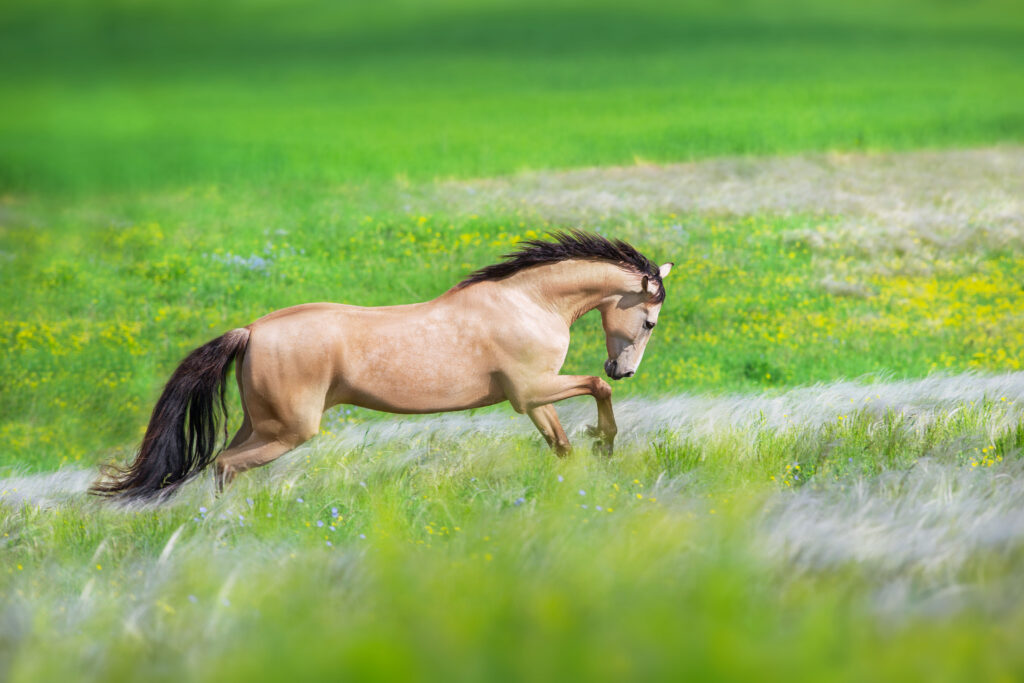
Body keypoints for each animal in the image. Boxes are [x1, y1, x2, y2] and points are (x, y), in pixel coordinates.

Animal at [90, 231, 673, 502]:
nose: (624, 370)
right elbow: (594, 390)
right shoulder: (532, 389)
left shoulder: (531, 399)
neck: (527, 303)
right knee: (224, 466)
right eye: (648, 322)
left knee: (224, 461)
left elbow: (560, 445)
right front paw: (606, 443)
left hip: (262, 424)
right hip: (289, 430)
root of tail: (251, 330)